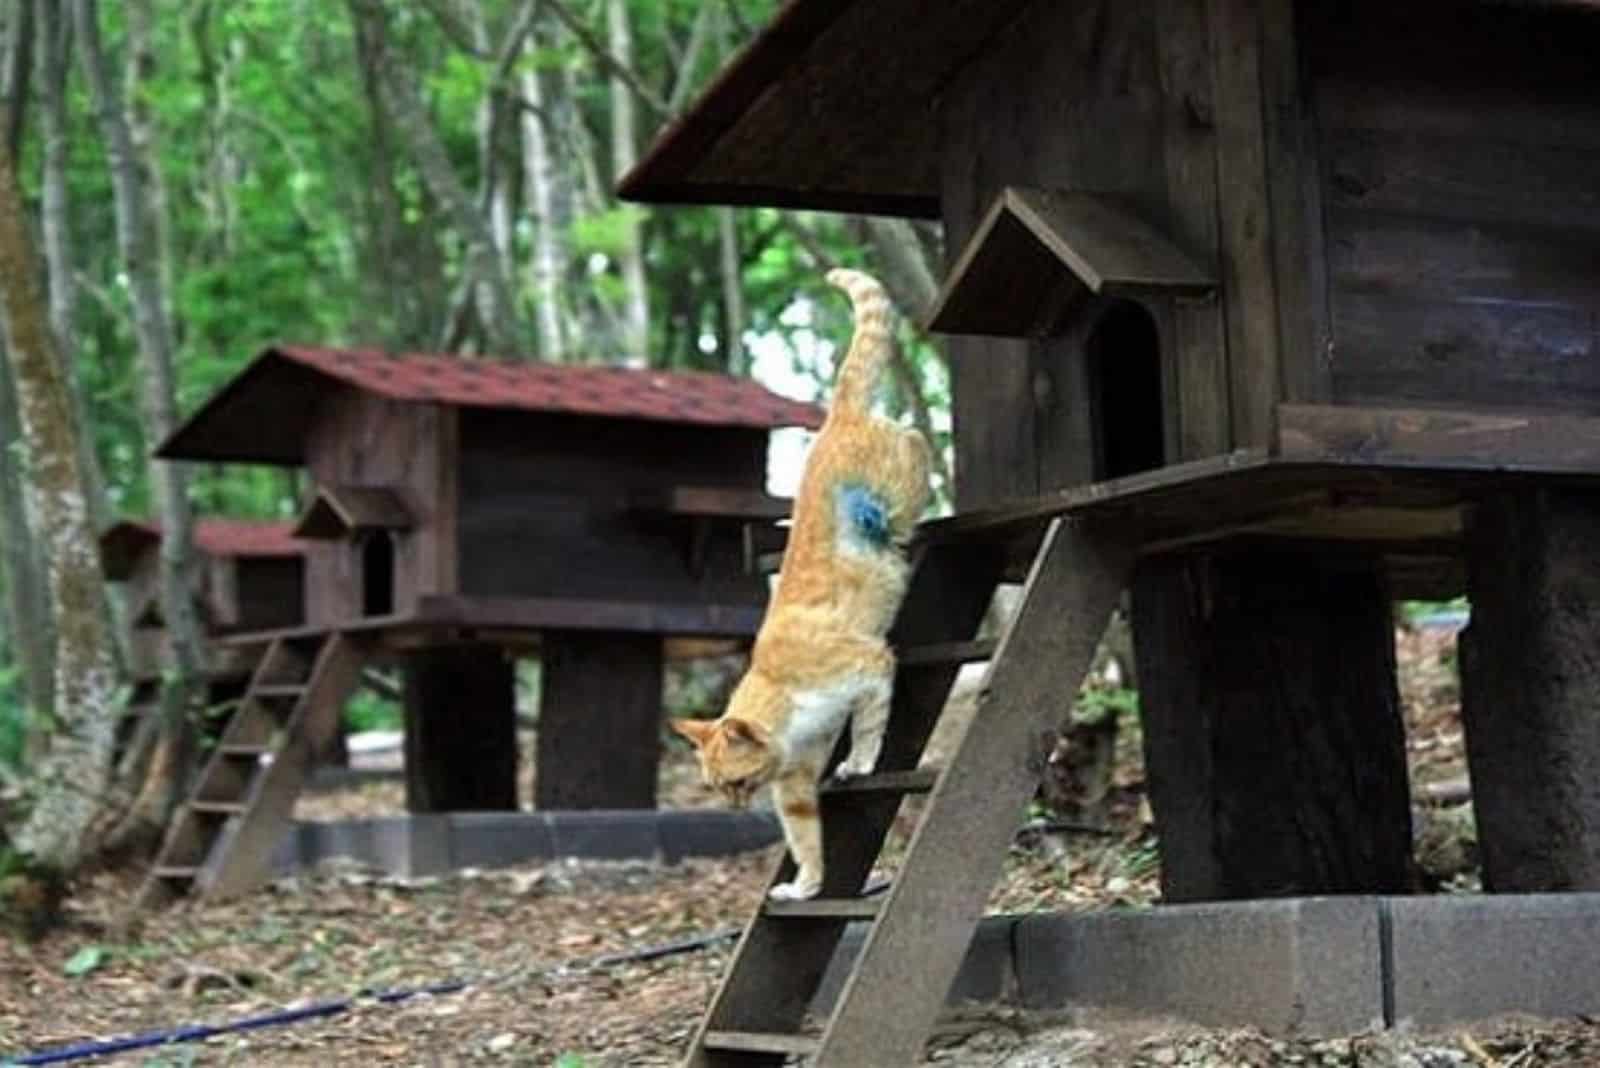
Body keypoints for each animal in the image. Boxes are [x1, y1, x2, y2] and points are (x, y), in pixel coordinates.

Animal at [672, 268, 928, 901]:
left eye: (737, 783)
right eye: (719, 788)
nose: (736, 810)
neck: (780, 690)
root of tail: (835, 416)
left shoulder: (869, 667)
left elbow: (870, 728)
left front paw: (862, 763)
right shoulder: (795, 779)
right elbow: (805, 837)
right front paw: (805, 887)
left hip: (897, 487)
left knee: (916, 436)